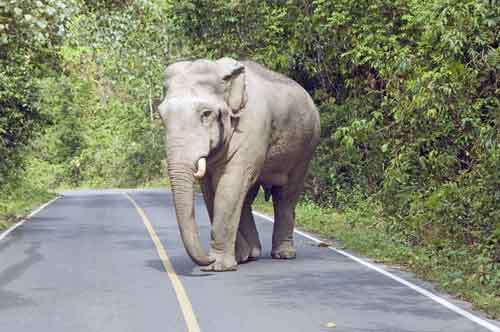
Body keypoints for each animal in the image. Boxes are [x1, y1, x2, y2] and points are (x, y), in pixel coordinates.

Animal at [157, 57, 320, 272]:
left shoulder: (252, 128)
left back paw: (283, 254)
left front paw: (218, 265)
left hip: (305, 149)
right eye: (161, 116)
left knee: (286, 195)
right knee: (248, 197)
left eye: (206, 114)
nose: (207, 259)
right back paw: (252, 254)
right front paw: (238, 257)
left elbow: (229, 187)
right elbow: (211, 191)